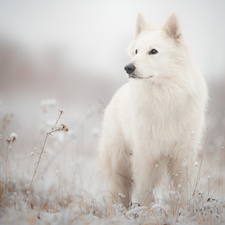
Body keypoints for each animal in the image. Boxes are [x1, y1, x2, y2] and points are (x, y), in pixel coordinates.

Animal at [98, 11, 207, 207]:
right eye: (136, 51)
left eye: (153, 51)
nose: (128, 67)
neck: (164, 97)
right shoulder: (146, 156)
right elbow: (145, 193)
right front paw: (146, 212)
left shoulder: (182, 156)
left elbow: (182, 193)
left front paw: (181, 211)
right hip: (121, 163)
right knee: (120, 191)